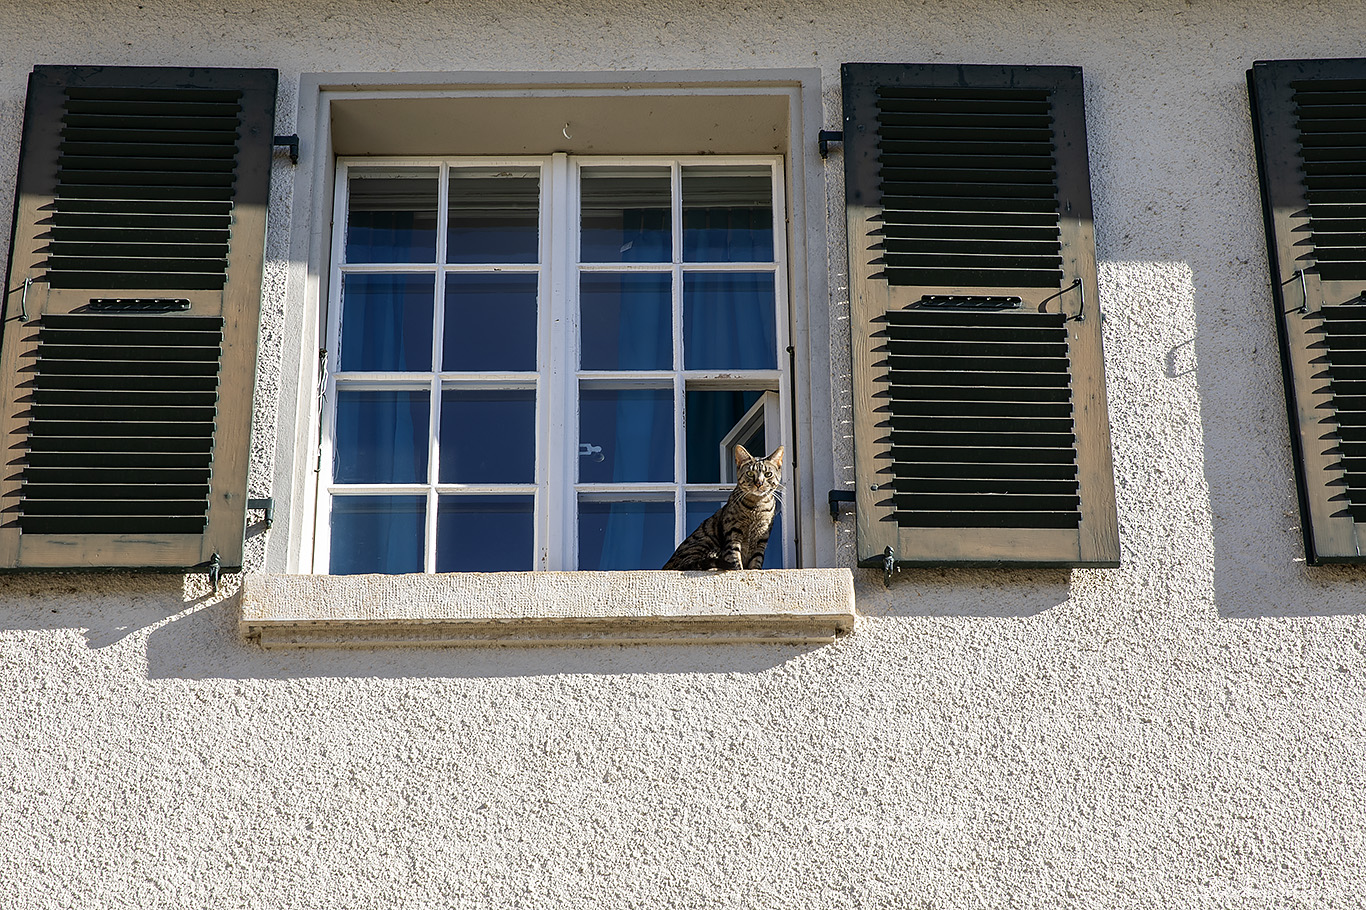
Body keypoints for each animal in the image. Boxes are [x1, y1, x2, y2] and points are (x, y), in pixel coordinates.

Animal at [658, 439, 781, 568]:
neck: (757, 507)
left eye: (768, 474)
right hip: (706, 543)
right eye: (750, 473)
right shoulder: (733, 534)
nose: (759, 483)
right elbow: (736, 561)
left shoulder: (761, 540)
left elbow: (756, 563)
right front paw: (738, 568)